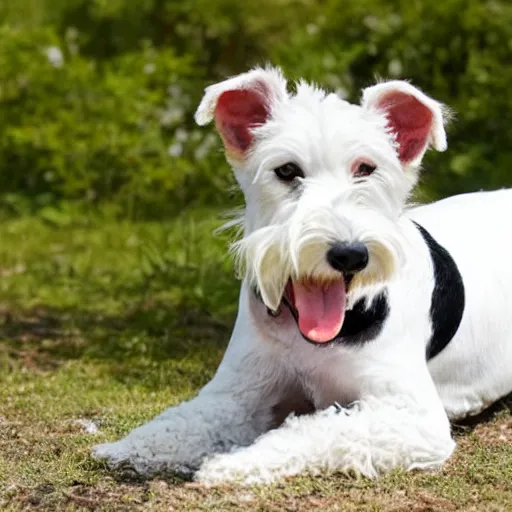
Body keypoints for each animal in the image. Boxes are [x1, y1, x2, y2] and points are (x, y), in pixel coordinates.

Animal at [94, 67, 512, 484]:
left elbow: (312, 431)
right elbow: (181, 421)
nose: (349, 254)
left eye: (366, 169)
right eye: (287, 170)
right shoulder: (235, 393)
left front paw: (235, 463)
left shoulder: (413, 418)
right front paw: (128, 447)